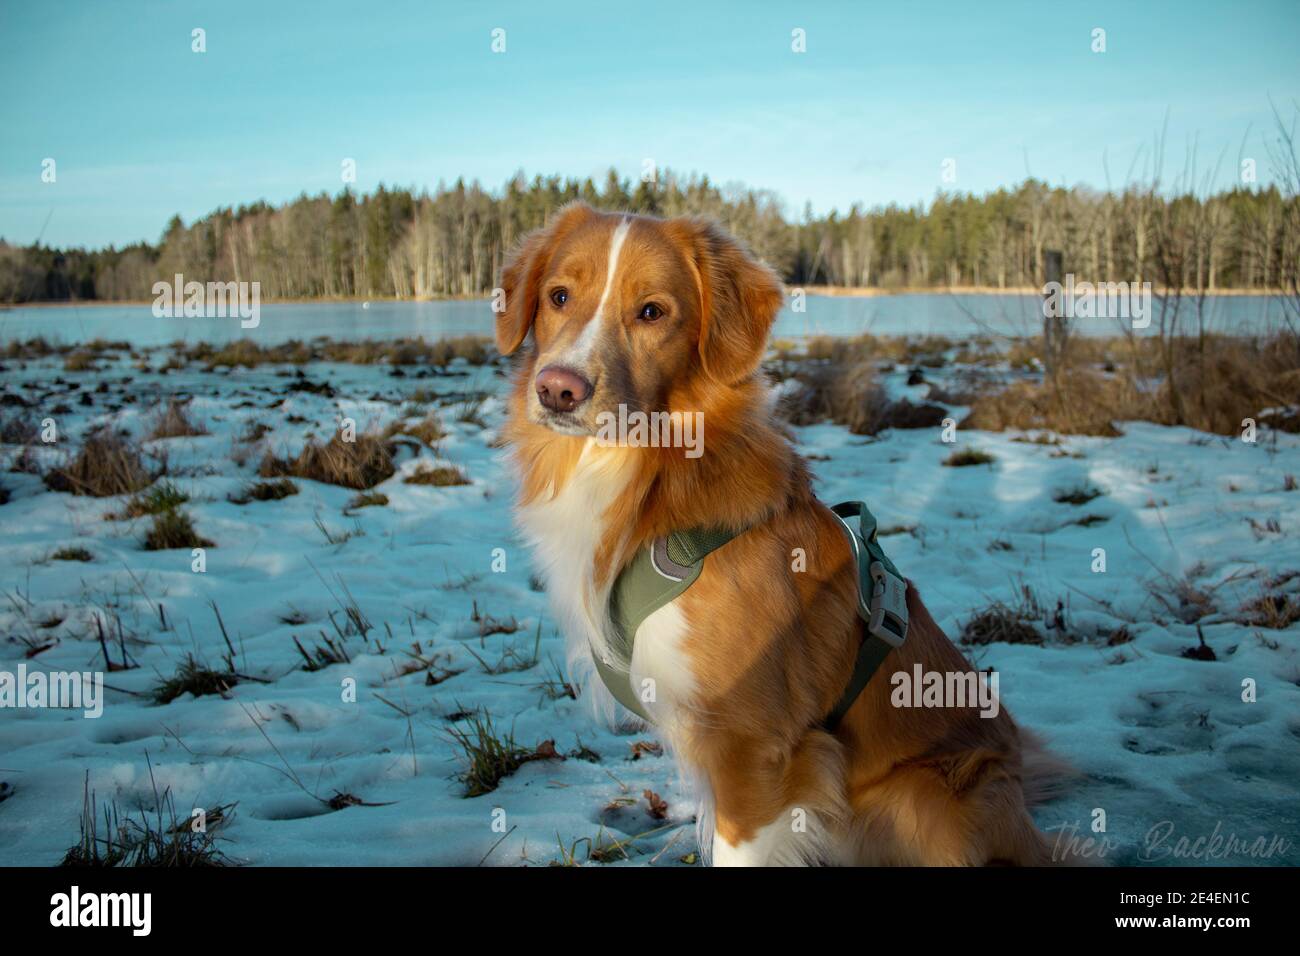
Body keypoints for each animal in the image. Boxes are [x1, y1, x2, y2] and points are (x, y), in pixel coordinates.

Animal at [496, 201, 1066, 868]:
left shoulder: (750, 746)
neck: (650, 476)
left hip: (924, 800)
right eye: (558, 296)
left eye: (652, 312)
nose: (558, 389)